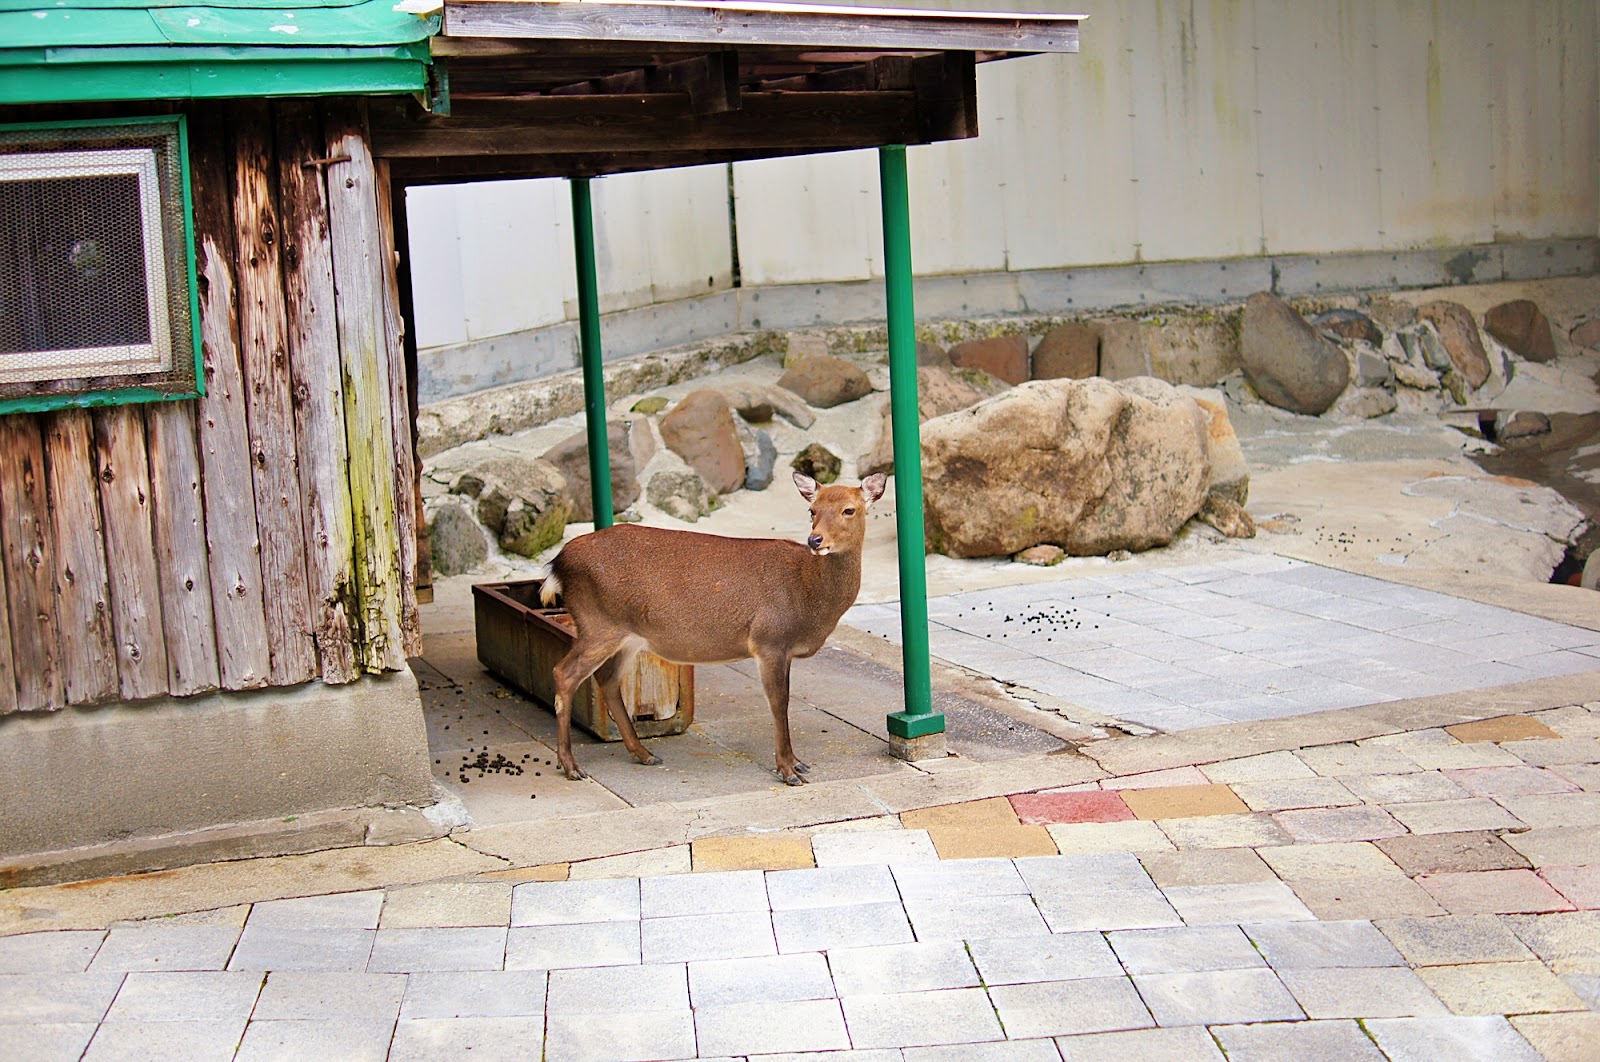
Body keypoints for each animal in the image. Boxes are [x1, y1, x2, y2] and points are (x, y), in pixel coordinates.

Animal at [537, 470, 889, 783]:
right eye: (812, 510)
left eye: (849, 509)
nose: (816, 539)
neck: (809, 597)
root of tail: (557, 564)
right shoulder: (768, 640)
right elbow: (779, 703)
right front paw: (788, 770)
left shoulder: (781, 649)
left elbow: (782, 701)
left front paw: (797, 763)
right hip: (598, 624)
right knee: (563, 674)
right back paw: (571, 766)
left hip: (628, 636)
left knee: (607, 681)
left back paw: (644, 754)